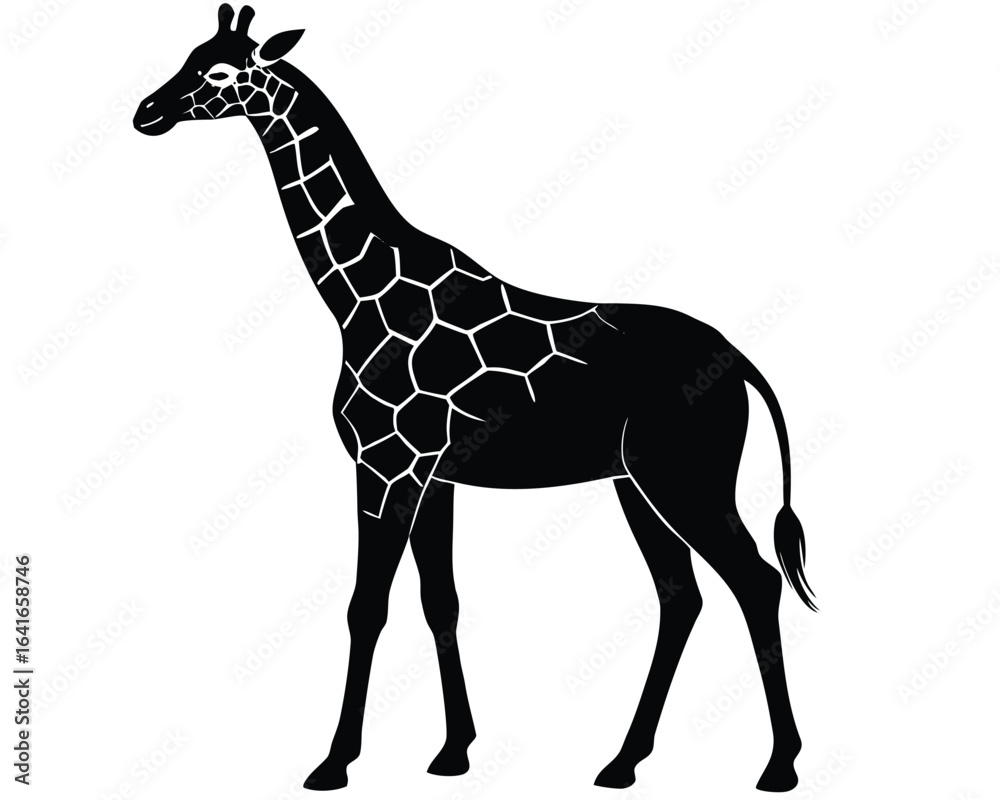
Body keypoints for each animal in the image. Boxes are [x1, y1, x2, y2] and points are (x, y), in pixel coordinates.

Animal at [134, 5, 817, 793]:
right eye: (189, 54)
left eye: (219, 71)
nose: (146, 112)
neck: (356, 299)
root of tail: (743, 363)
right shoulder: (434, 475)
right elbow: (441, 602)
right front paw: (454, 751)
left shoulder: (388, 465)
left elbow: (367, 606)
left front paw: (333, 762)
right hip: (637, 481)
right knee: (682, 595)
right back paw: (622, 761)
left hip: (685, 476)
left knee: (755, 580)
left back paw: (779, 765)